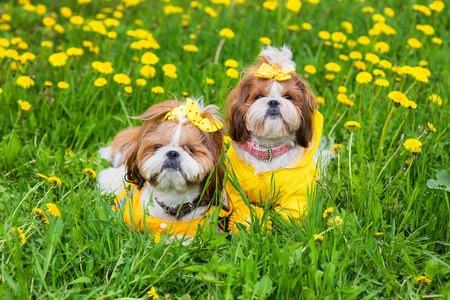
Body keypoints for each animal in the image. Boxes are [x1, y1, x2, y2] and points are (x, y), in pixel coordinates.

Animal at [225, 45, 326, 230]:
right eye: (258, 96)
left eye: (288, 97)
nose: (273, 102)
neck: (268, 151)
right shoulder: (234, 188)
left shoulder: (296, 195)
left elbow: (289, 216)